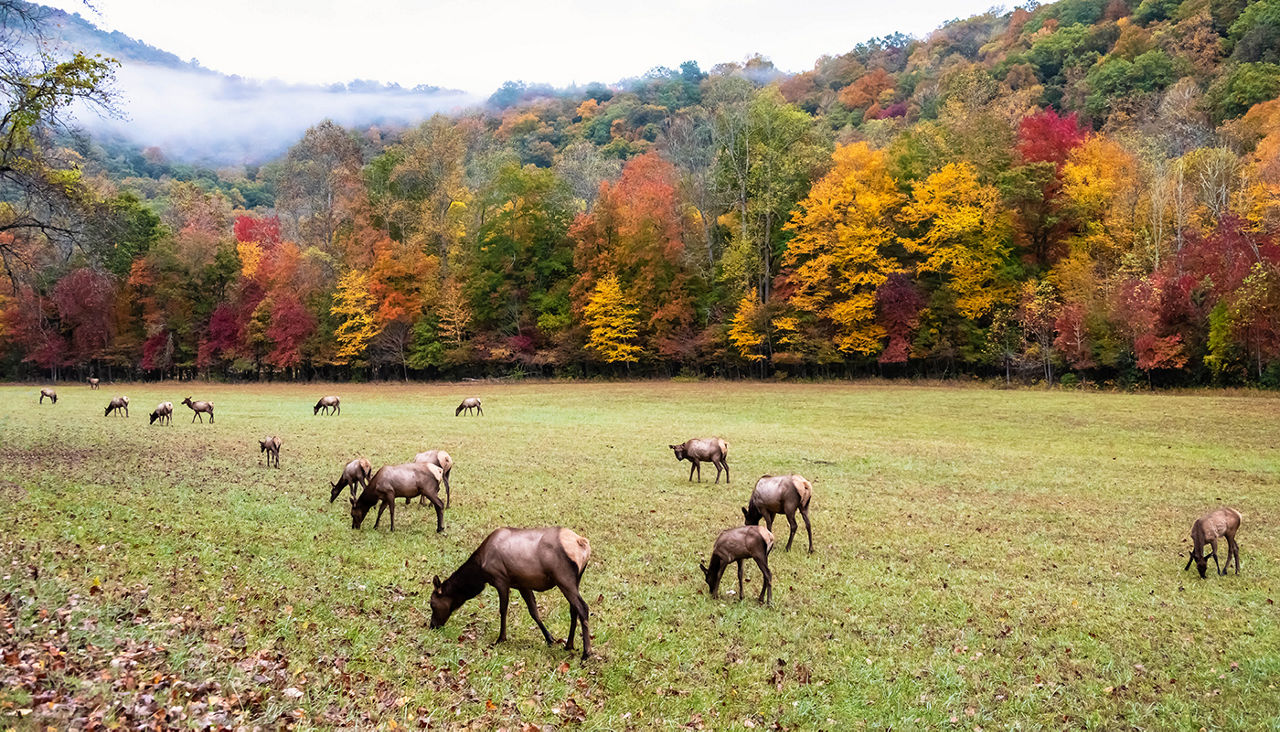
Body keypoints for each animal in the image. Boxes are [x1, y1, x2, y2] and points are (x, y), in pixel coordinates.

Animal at [427, 527, 591, 655]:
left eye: (432, 604)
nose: (432, 625)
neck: (480, 573)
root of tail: (582, 543)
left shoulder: (501, 580)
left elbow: (503, 609)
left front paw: (501, 638)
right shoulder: (522, 584)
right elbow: (534, 612)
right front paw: (550, 639)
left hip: (564, 578)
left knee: (583, 607)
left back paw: (586, 652)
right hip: (575, 580)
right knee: (573, 610)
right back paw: (569, 645)